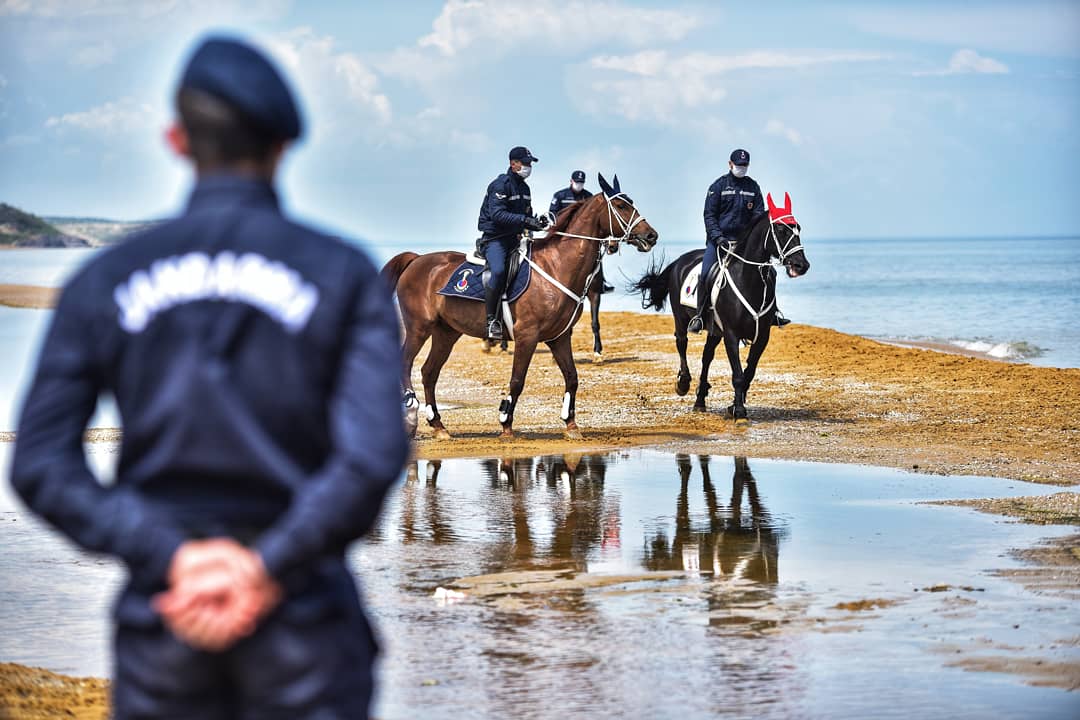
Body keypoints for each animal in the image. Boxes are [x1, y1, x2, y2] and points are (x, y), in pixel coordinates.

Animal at [382, 174, 658, 440]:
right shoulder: (527, 335)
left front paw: (570, 424)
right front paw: (506, 422)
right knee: (406, 365)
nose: (651, 236)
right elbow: (517, 380)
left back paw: (438, 426)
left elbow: (572, 377)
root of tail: (416, 260)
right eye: (621, 206)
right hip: (419, 328)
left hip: (446, 333)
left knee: (429, 372)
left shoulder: (559, 337)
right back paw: (411, 412)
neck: (557, 266)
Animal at [633, 193, 809, 423]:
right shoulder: (731, 335)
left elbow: (748, 372)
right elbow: (738, 375)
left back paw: (700, 401)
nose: (801, 265)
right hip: (682, 319)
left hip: (715, 331)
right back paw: (683, 383)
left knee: (706, 357)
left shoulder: (762, 336)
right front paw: (740, 412)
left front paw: (734, 405)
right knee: (681, 343)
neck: (748, 279)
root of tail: (680, 260)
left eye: (798, 228)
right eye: (780, 230)